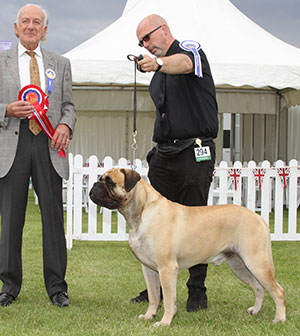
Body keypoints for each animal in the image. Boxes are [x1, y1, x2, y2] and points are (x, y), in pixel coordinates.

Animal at [89, 168, 286, 326]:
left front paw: (165, 322)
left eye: (109, 181)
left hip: (256, 262)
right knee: (259, 288)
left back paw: (279, 319)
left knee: (278, 291)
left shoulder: (167, 268)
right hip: (239, 264)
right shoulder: (149, 269)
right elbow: (154, 296)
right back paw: (256, 310)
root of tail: (258, 217)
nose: (94, 184)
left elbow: (169, 299)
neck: (141, 212)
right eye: (101, 178)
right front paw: (149, 315)